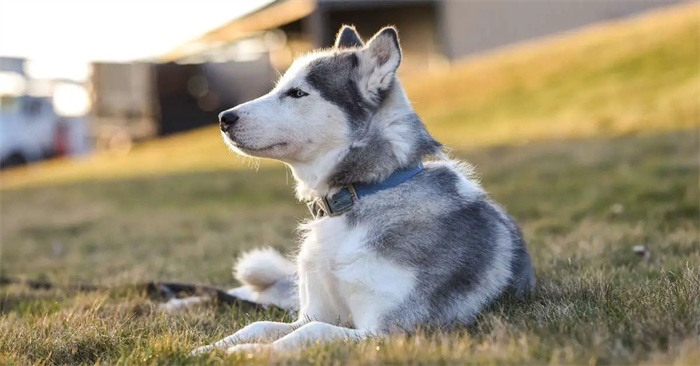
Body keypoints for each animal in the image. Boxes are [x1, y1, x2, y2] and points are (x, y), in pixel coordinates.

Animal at [193, 25, 536, 354]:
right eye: (279, 88)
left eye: (297, 93)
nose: (224, 118)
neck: (358, 195)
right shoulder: (312, 311)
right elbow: (260, 325)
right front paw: (208, 349)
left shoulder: (391, 330)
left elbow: (311, 331)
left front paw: (246, 353)